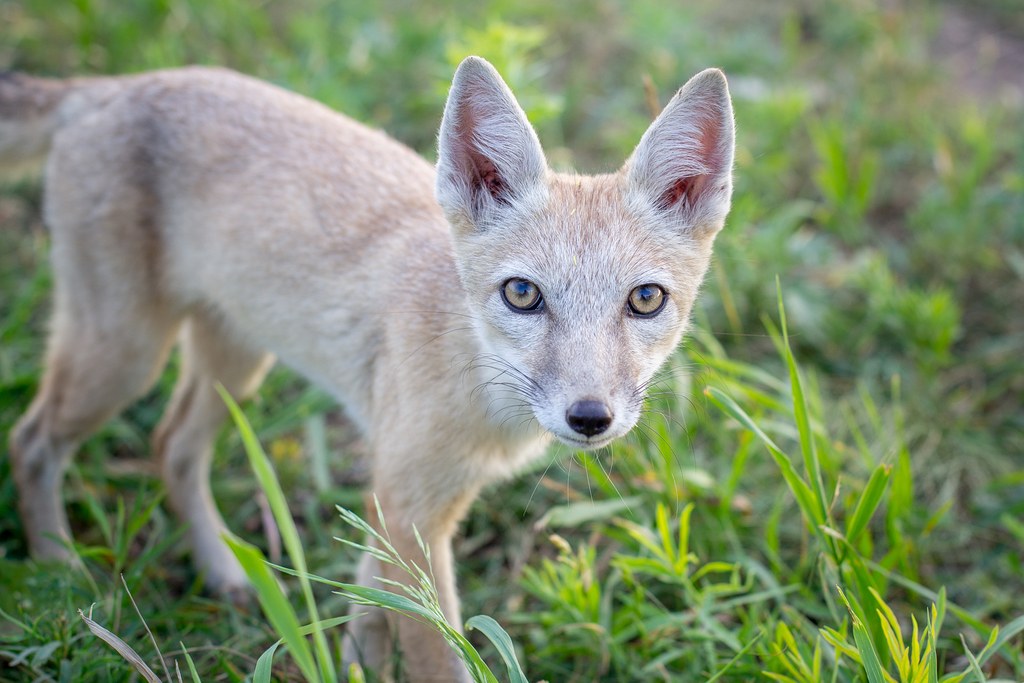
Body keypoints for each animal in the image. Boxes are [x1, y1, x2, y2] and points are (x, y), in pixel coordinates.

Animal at [2, 57, 734, 680]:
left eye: (645, 299)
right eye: (523, 294)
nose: (589, 418)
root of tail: (110, 85)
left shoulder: (401, 501)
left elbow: (367, 610)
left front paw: (350, 663)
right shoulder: (411, 508)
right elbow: (435, 652)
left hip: (234, 362)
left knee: (171, 446)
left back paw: (224, 572)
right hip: (125, 356)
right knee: (32, 441)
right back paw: (57, 580)